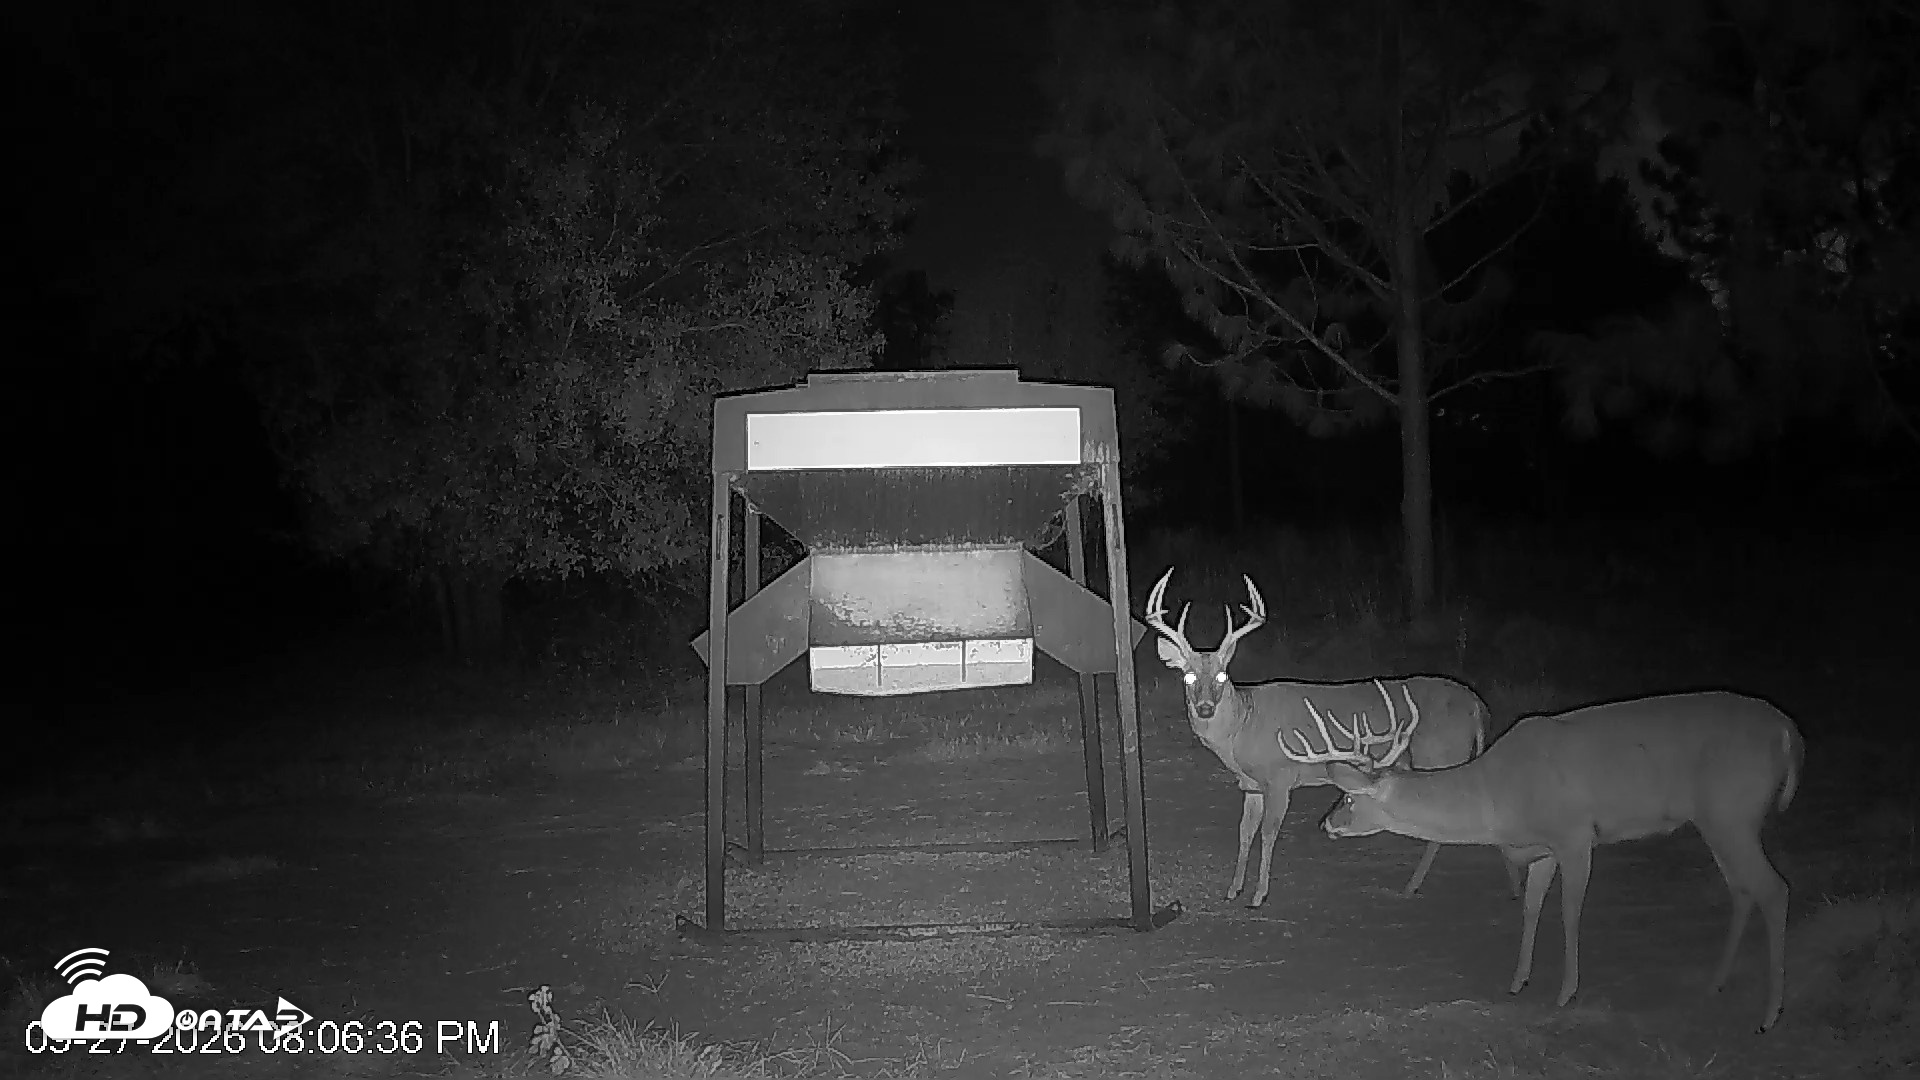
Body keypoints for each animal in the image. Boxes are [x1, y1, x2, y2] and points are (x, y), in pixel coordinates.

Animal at [1143, 567, 1515, 908]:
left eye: (1222, 675)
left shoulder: (1280, 777)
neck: (1242, 730)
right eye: (1188, 676)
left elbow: (1268, 833)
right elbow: (1244, 831)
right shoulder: (1250, 784)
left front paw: (1259, 895)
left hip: (1441, 755)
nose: (1205, 708)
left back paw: (1414, 885)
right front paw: (1233, 890)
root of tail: (1478, 707)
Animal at [1277, 684, 1804, 1033]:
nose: (1325, 824)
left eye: (1347, 798)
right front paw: (1518, 981)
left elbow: (1570, 912)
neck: (1498, 797)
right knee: (1742, 889)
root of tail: (1788, 731)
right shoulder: (1542, 849)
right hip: (1717, 819)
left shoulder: (1574, 835)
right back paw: (1716, 984)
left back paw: (1770, 1013)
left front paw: (1566, 992)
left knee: (1774, 888)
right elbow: (1531, 907)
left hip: (1732, 811)